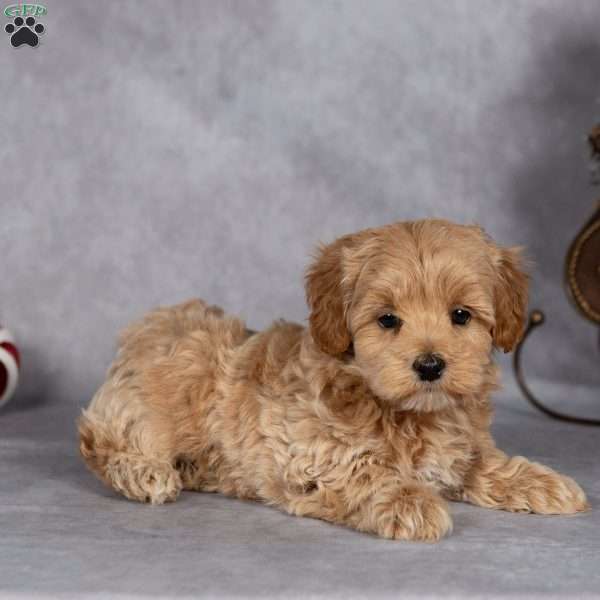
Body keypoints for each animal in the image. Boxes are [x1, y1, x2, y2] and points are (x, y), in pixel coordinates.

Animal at [77, 220, 588, 540]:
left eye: (461, 315)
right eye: (387, 320)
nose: (429, 366)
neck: (409, 413)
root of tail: (145, 330)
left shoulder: (462, 450)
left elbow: (487, 463)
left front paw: (540, 484)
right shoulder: (310, 454)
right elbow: (364, 472)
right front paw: (409, 501)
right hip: (170, 384)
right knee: (100, 437)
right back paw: (144, 471)